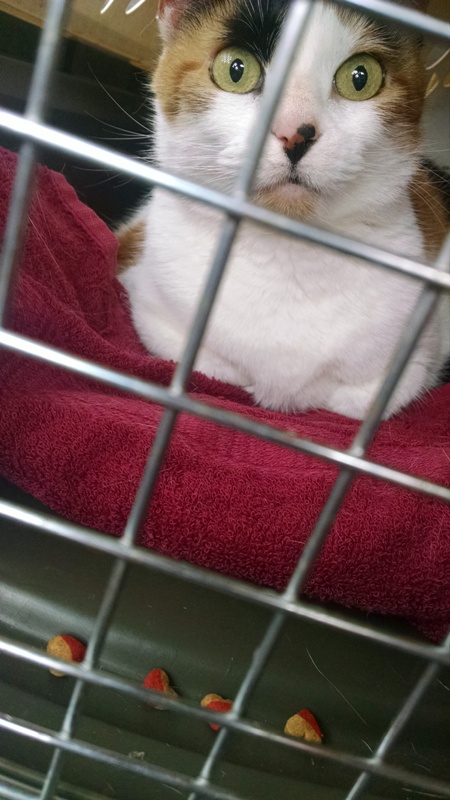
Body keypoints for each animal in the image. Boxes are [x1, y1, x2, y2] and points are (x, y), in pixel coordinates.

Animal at [118, 0, 450, 420]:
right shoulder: (145, 296)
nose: (295, 132)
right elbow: (211, 365)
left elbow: (358, 402)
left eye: (360, 77)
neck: (286, 253)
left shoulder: (419, 354)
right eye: (236, 69)